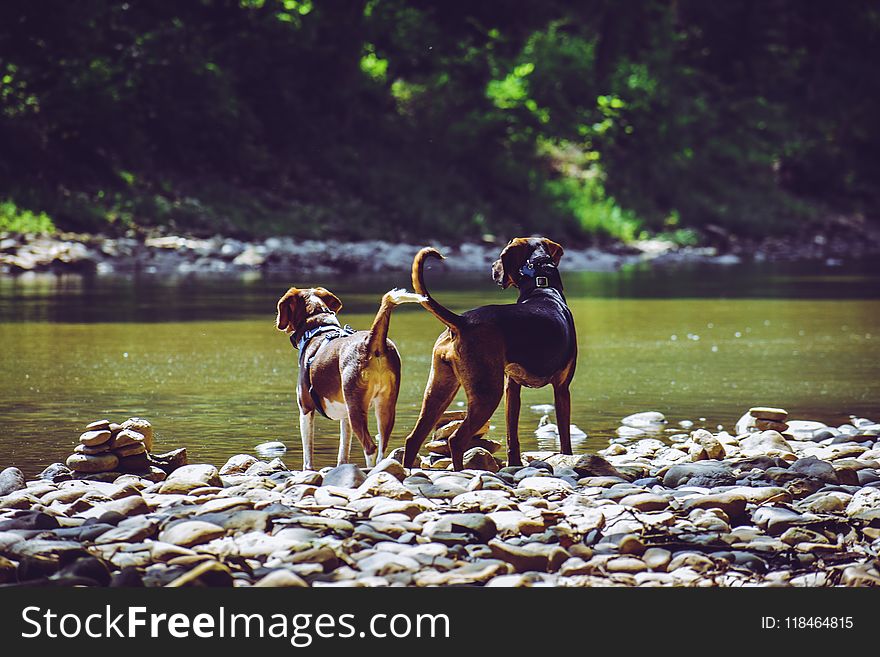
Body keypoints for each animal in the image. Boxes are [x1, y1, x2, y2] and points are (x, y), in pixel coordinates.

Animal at [276, 286, 424, 466]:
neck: (318, 328)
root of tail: (371, 341)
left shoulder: (305, 408)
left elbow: (308, 455)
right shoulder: (345, 416)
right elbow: (343, 451)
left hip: (356, 409)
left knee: (370, 448)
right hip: (385, 407)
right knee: (382, 448)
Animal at [400, 238, 576, 468]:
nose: (492, 267)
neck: (542, 287)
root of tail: (462, 321)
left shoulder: (512, 389)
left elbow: (512, 436)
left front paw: (514, 464)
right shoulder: (562, 389)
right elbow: (565, 438)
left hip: (438, 390)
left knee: (413, 439)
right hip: (487, 394)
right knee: (456, 439)